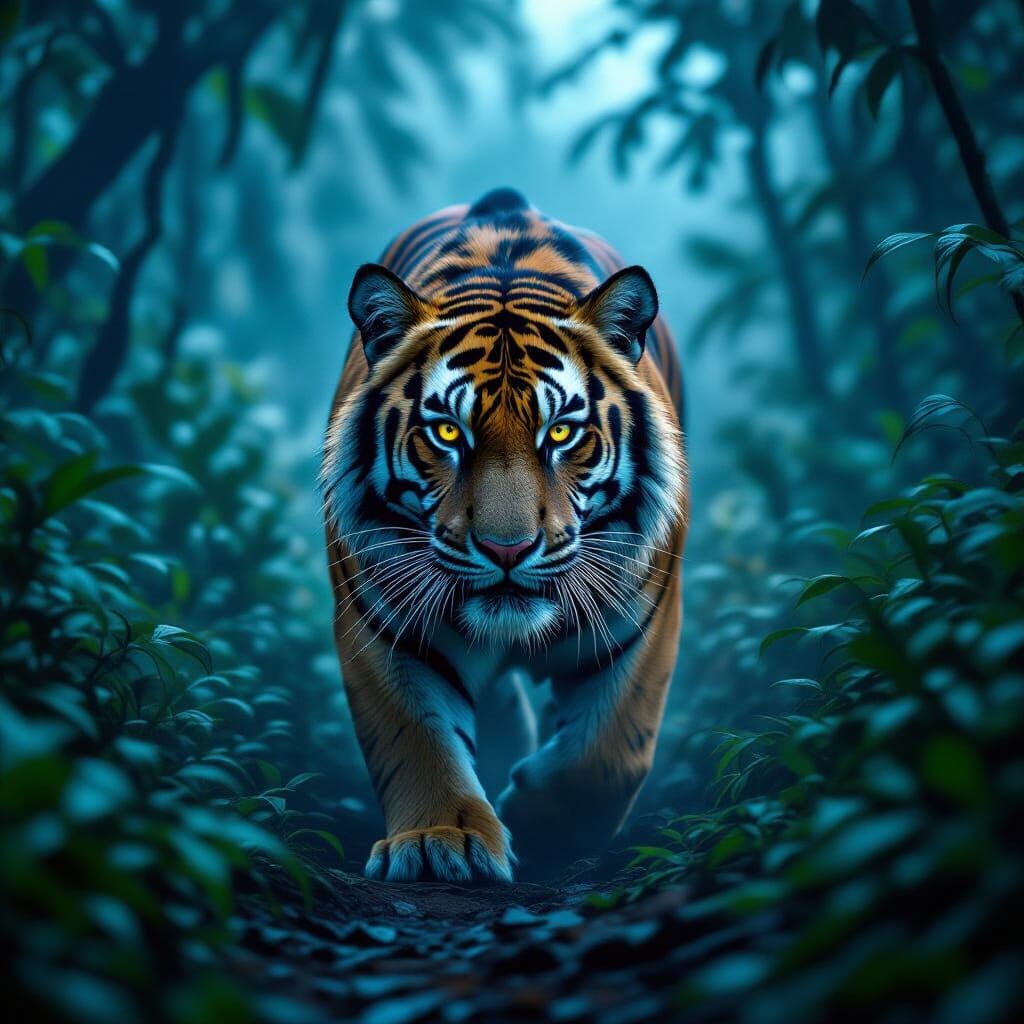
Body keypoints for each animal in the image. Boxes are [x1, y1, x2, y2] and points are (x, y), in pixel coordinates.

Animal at [321, 187, 689, 883]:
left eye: (561, 433)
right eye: (447, 433)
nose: (507, 549)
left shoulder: (645, 621)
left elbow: (606, 759)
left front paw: (544, 835)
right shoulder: (379, 621)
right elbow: (414, 736)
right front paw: (439, 842)